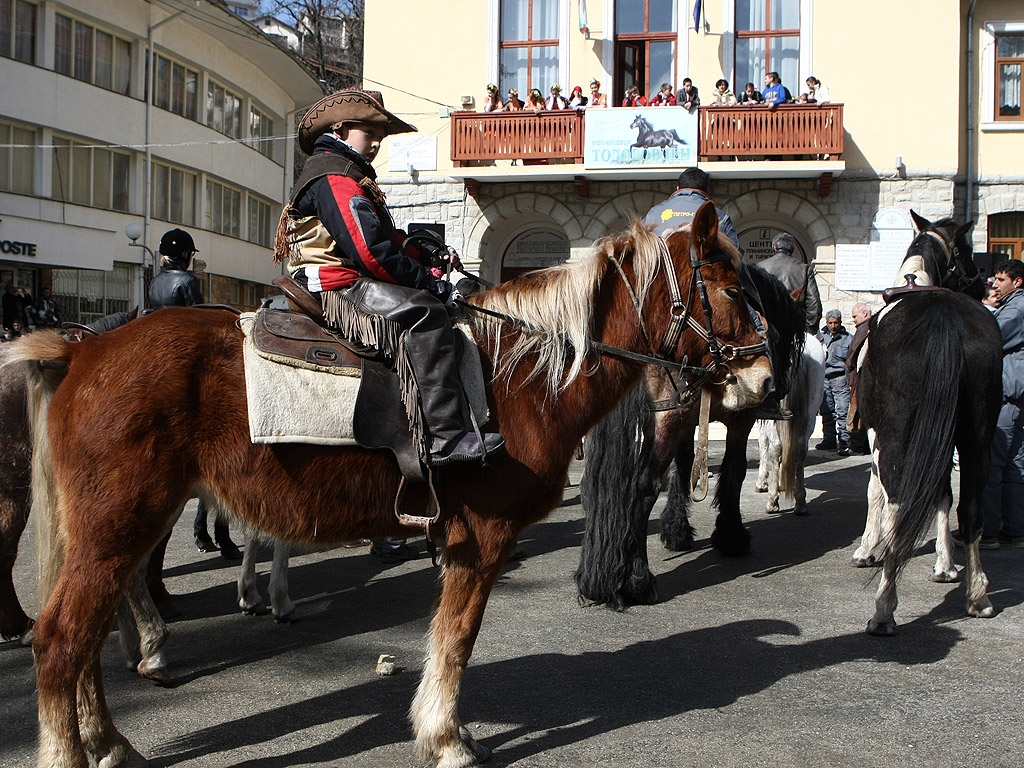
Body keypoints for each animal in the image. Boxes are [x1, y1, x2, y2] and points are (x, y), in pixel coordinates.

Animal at [12, 205, 770, 768]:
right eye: (734, 291)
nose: (765, 381)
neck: (515, 378)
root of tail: (83, 349)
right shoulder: (481, 540)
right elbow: (456, 638)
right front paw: (446, 738)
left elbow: (449, 637)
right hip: (118, 528)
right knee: (60, 641)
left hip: (112, 533)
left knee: (87, 638)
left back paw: (111, 741)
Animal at [573, 266, 802, 614]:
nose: (771, 383)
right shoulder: (738, 420)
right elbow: (733, 473)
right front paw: (732, 535)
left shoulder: (686, 420)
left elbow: (682, 468)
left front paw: (676, 529)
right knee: (643, 486)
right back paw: (635, 580)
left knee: (595, 485)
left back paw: (595, 577)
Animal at [856, 211, 999, 638]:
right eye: (967, 250)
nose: (983, 283)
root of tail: (943, 316)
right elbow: (942, 495)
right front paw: (945, 565)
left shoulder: (877, 433)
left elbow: (876, 492)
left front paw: (867, 548)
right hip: (976, 438)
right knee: (969, 508)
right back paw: (978, 596)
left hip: (899, 436)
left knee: (900, 505)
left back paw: (884, 609)